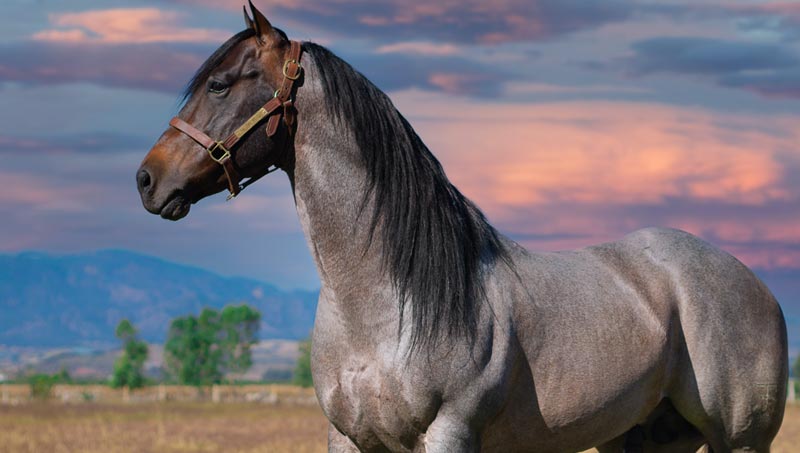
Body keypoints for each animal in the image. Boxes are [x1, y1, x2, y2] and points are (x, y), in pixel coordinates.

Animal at [136, 4, 788, 452]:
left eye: (220, 84)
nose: (147, 180)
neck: (382, 299)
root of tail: (757, 286)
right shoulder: (347, 437)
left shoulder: (450, 433)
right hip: (642, 438)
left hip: (740, 442)